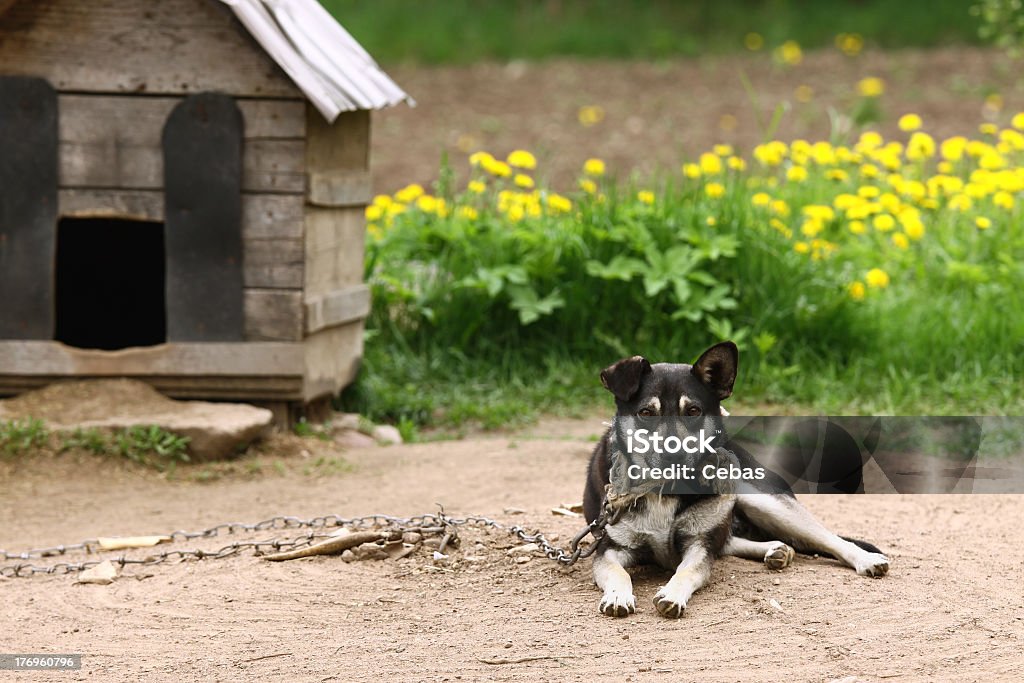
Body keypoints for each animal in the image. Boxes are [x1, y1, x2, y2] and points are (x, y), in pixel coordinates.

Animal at [585, 342, 888, 618]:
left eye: (693, 411)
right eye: (646, 413)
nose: (674, 456)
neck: (664, 490)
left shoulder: (699, 546)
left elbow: (687, 570)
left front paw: (672, 594)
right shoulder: (609, 548)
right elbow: (619, 573)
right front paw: (618, 596)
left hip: (763, 500)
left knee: (825, 537)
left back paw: (864, 559)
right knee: (731, 540)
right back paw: (776, 550)